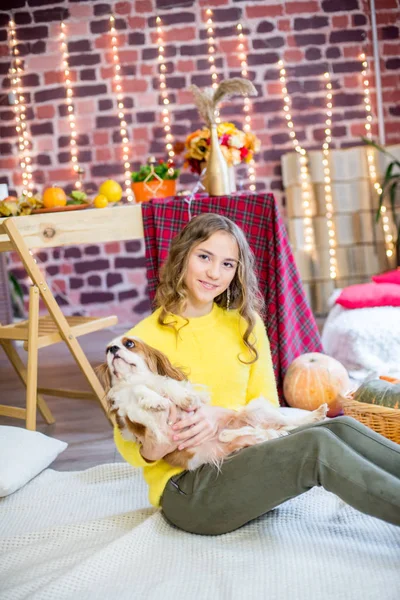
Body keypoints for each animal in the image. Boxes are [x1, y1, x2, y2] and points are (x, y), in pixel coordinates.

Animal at [97, 336, 328, 472]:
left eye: (129, 344)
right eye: (107, 349)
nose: (112, 348)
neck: (133, 378)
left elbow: (169, 385)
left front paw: (180, 398)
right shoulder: (133, 421)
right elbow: (136, 392)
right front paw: (155, 401)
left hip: (258, 409)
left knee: (288, 421)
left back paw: (316, 414)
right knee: (264, 432)